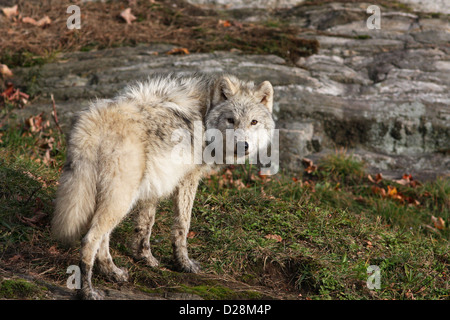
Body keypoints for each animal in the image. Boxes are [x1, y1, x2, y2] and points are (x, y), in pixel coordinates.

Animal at [49, 73, 274, 300]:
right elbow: (183, 225)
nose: (243, 146)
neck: (204, 114)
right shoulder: (187, 179)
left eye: (253, 122)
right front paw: (184, 264)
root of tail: (94, 120)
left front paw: (145, 259)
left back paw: (112, 272)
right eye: (231, 120)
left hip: (115, 196)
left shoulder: (155, 182)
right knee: (90, 240)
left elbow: (145, 225)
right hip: (121, 198)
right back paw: (88, 291)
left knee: (103, 237)